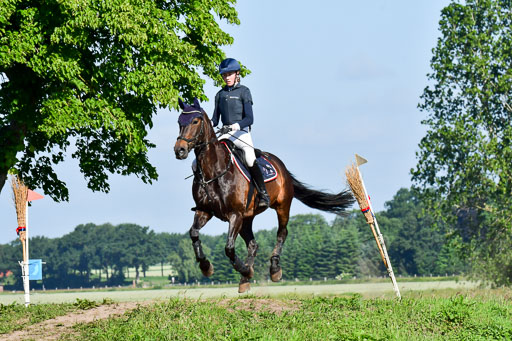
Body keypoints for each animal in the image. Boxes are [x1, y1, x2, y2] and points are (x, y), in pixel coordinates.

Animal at [174, 98, 354, 292]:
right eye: (179, 122)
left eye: (195, 121)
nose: (179, 150)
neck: (214, 170)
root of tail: (281, 166)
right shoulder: (205, 211)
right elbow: (194, 233)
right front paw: (206, 267)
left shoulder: (234, 214)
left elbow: (229, 248)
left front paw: (245, 270)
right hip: (247, 218)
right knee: (253, 245)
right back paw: (245, 279)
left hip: (281, 207)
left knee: (282, 233)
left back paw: (273, 269)